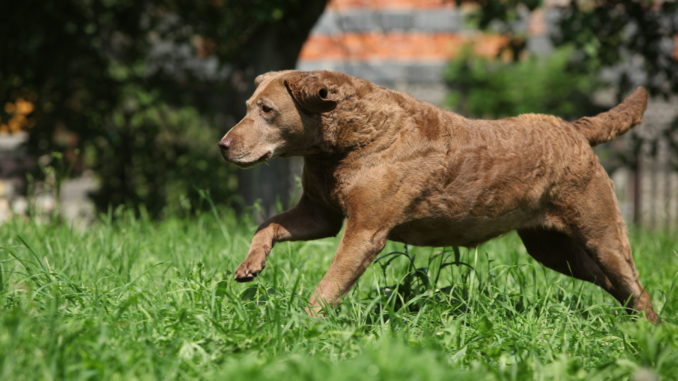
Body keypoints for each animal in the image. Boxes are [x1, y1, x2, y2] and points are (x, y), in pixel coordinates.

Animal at [219, 70, 660, 322]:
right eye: (248, 106)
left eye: (267, 110)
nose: (222, 145)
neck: (347, 141)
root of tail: (574, 129)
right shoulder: (320, 215)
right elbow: (267, 225)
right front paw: (249, 265)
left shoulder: (365, 231)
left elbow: (329, 285)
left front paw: (304, 325)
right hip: (553, 248)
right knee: (615, 284)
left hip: (601, 232)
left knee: (635, 286)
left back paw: (648, 336)